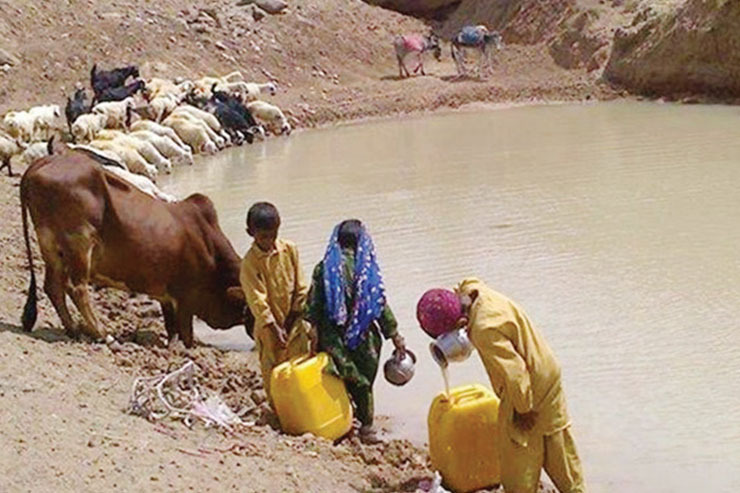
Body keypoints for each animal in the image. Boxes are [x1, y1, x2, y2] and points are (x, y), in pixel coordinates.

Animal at [20, 148, 253, 344]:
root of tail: (42, 162)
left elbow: (171, 328)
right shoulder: (186, 298)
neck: (210, 247)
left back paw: (73, 330)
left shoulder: (165, 295)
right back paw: (103, 334)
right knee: (76, 288)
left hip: (50, 246)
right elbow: (185, 334)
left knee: (53, 287)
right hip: (80, 243)